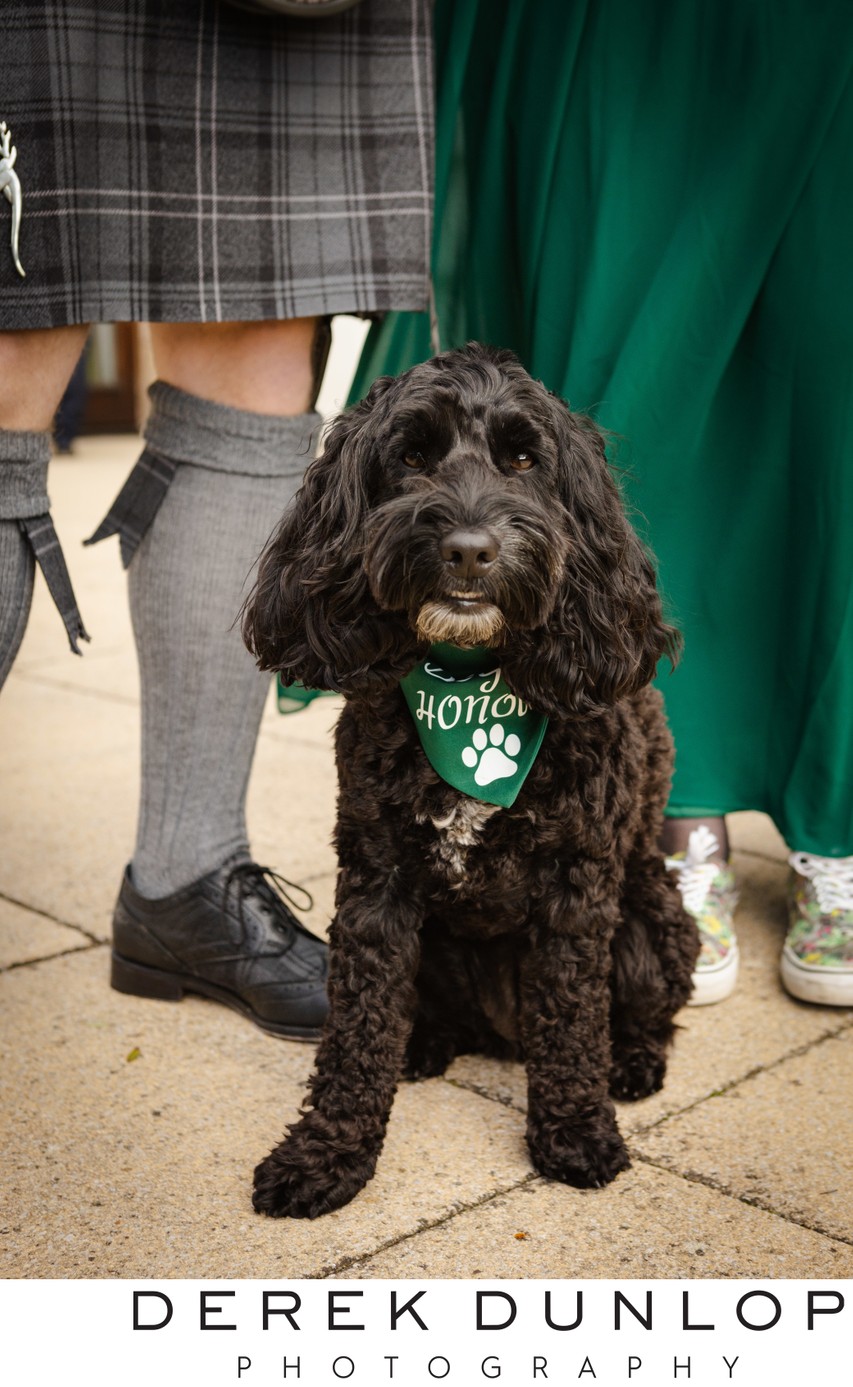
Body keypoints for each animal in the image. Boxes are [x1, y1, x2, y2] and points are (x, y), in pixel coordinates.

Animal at [241, 343, 701, 1215]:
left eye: (523, 461)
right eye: (412, 457)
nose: (467, 548)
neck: (467, 674)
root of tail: (499, 1032)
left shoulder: (575, 890)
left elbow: (572, 1018)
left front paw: (575, 1129)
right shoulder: (375, 886)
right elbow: (356, 1028)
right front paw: (326, 1154)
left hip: (651, 918)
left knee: (641, 1012)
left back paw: (631, 1063)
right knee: (419, 1013)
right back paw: (424, 1043)